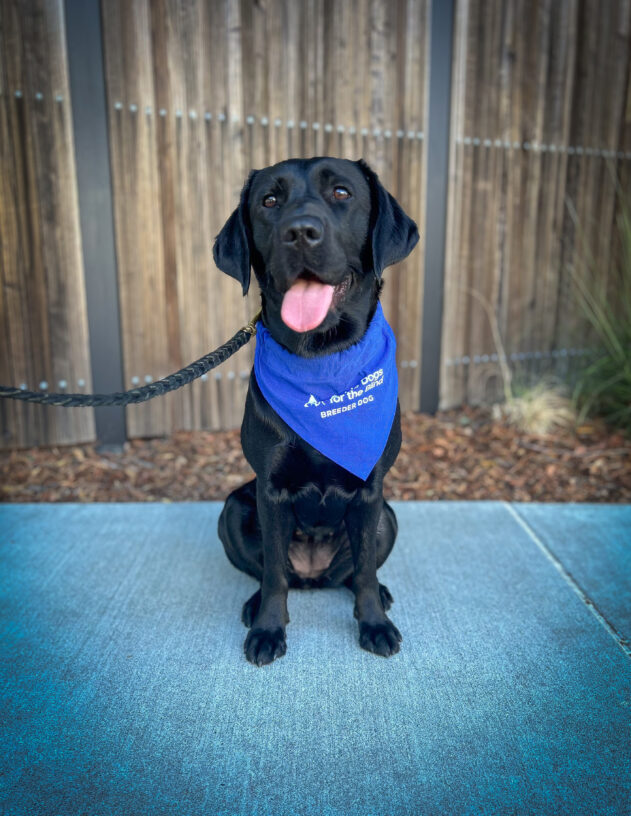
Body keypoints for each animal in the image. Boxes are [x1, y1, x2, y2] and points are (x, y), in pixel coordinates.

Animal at [214, 156, 420, 668]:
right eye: (269, 201)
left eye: (342, 193)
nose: (300, 232)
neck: (321, 359)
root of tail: (313, 574)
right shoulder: (269, 491)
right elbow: (272, 574)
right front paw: (268, 628)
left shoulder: (370, 491)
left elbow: (363, 571)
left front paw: (374, 625)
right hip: (233, 510)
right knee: (274, 573)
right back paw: (256, 604)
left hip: (388, 517)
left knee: (352, 574)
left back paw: (378, 595)